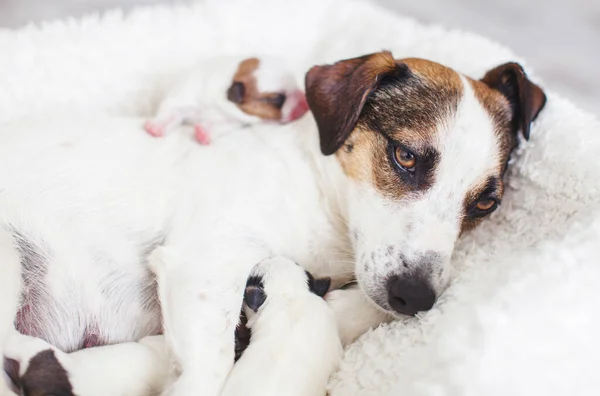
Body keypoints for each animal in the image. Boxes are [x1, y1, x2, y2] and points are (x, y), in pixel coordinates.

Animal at [143, 54, 308, 144]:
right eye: (277, 99)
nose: (305, 101)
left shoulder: (232, 119)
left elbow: (219, 125)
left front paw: (204, 132)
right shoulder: (183, 97)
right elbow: (171, 111)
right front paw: (156, 127)